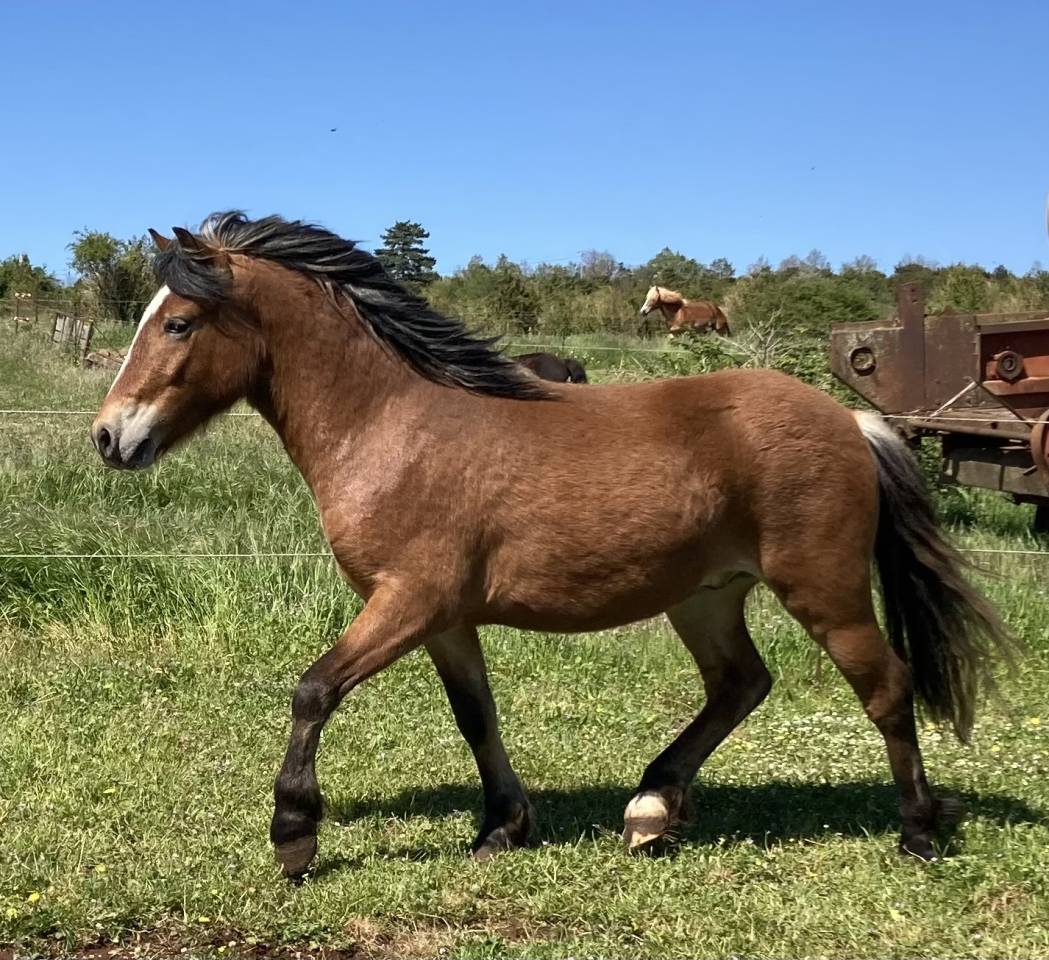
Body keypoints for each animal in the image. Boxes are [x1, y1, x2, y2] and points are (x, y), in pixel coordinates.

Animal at [91, 212, 1012, 880]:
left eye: (178, 323)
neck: (391, 424)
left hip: (822, 589)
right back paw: (650, 811)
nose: (108, 437)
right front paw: (502, 826)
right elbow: (475, 714)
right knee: (740, 684)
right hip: (706, 597)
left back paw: (917, 835)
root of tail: (852, 422)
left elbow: (314, 690)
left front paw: (294, 835)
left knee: (885, 687)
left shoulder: (408, 600)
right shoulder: (444, 620)